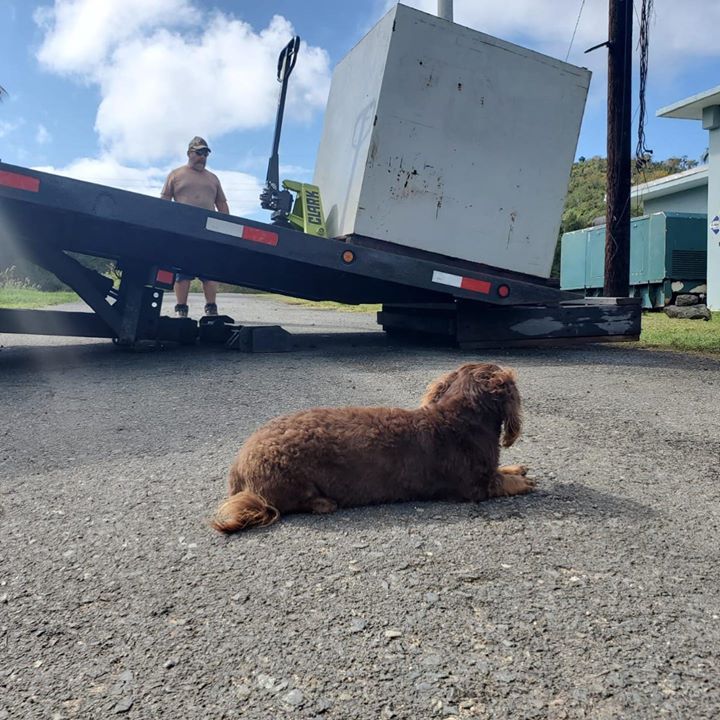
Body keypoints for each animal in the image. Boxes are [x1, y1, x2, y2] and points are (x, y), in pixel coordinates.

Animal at [211, 362, 536, 532]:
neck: (457, 417)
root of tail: (238, 467)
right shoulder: (473, 486)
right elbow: (500, 483)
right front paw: (522, 481)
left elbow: (502, 470)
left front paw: (516, 468)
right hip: (288, 481)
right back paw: (323, 503)